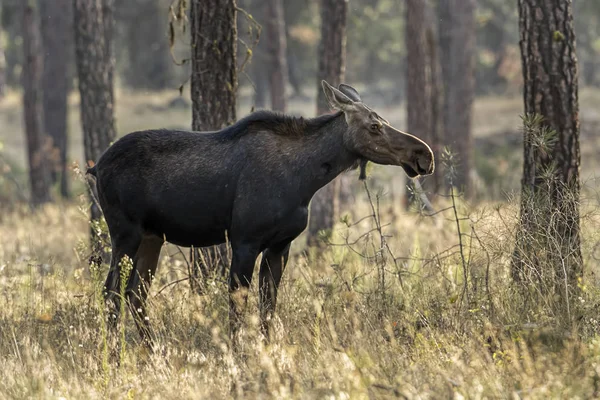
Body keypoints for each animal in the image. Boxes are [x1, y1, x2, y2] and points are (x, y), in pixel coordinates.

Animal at [88, 81, 436, 346]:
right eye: (374, 126)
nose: (424, 155)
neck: (307, 178)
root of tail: (96, 167)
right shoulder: (245, 240)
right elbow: (238, 305)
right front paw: (237, 354)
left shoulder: (281, 244)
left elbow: (268, 306)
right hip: (126, 232)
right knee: (110, 293)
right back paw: (113, 354)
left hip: (152, 236)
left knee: (135, 294)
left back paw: (153, 350)